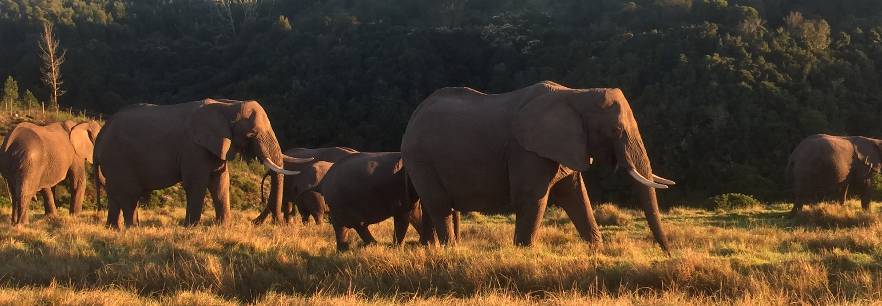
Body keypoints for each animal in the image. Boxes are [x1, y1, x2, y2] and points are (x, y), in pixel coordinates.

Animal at [95, 98, 310, 227]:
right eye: (252, 134)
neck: (227, 106)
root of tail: (101, 134)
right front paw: (190, 227)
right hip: (119, 158)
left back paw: (113, 229)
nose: (254, 222)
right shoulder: (193, 147)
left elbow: (221, 182)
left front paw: (223, 227)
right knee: (129, 194)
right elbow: (196, 183)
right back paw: (132, 228)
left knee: (115, 194)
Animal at [400, 80, 672, 251]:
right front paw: (524, 252)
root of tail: (413, 117)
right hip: (420, 158)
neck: (576, 94)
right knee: (439, 205)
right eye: (615, 130)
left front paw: (598, 251)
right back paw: (451, 250)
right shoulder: (526, 151)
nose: (668, 252)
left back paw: (430, 249)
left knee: (433, 206)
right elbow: (532, 196)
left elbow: (576, 196)